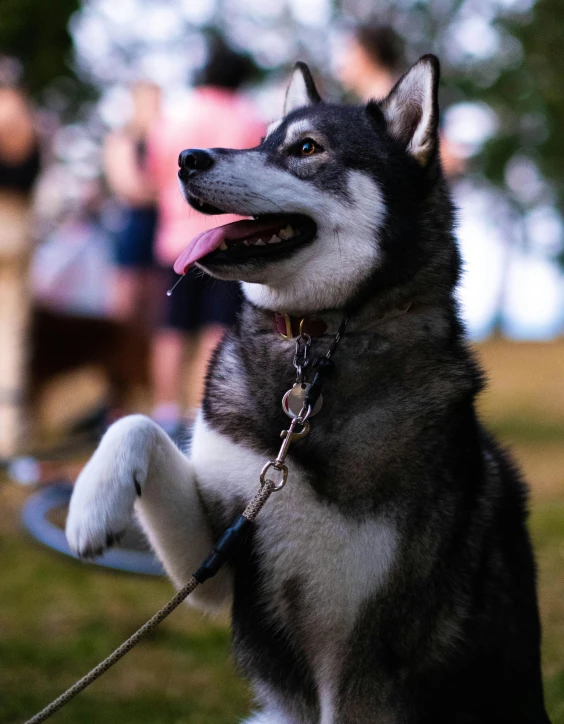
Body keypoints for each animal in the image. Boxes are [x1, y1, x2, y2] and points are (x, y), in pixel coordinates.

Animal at [64, 58, 548, 724]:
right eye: (260, 141)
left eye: (306, 149)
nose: (187, 157)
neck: (312, 347)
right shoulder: (219, 561)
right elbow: (134, 423)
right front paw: (91, 505)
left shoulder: (364, 672)